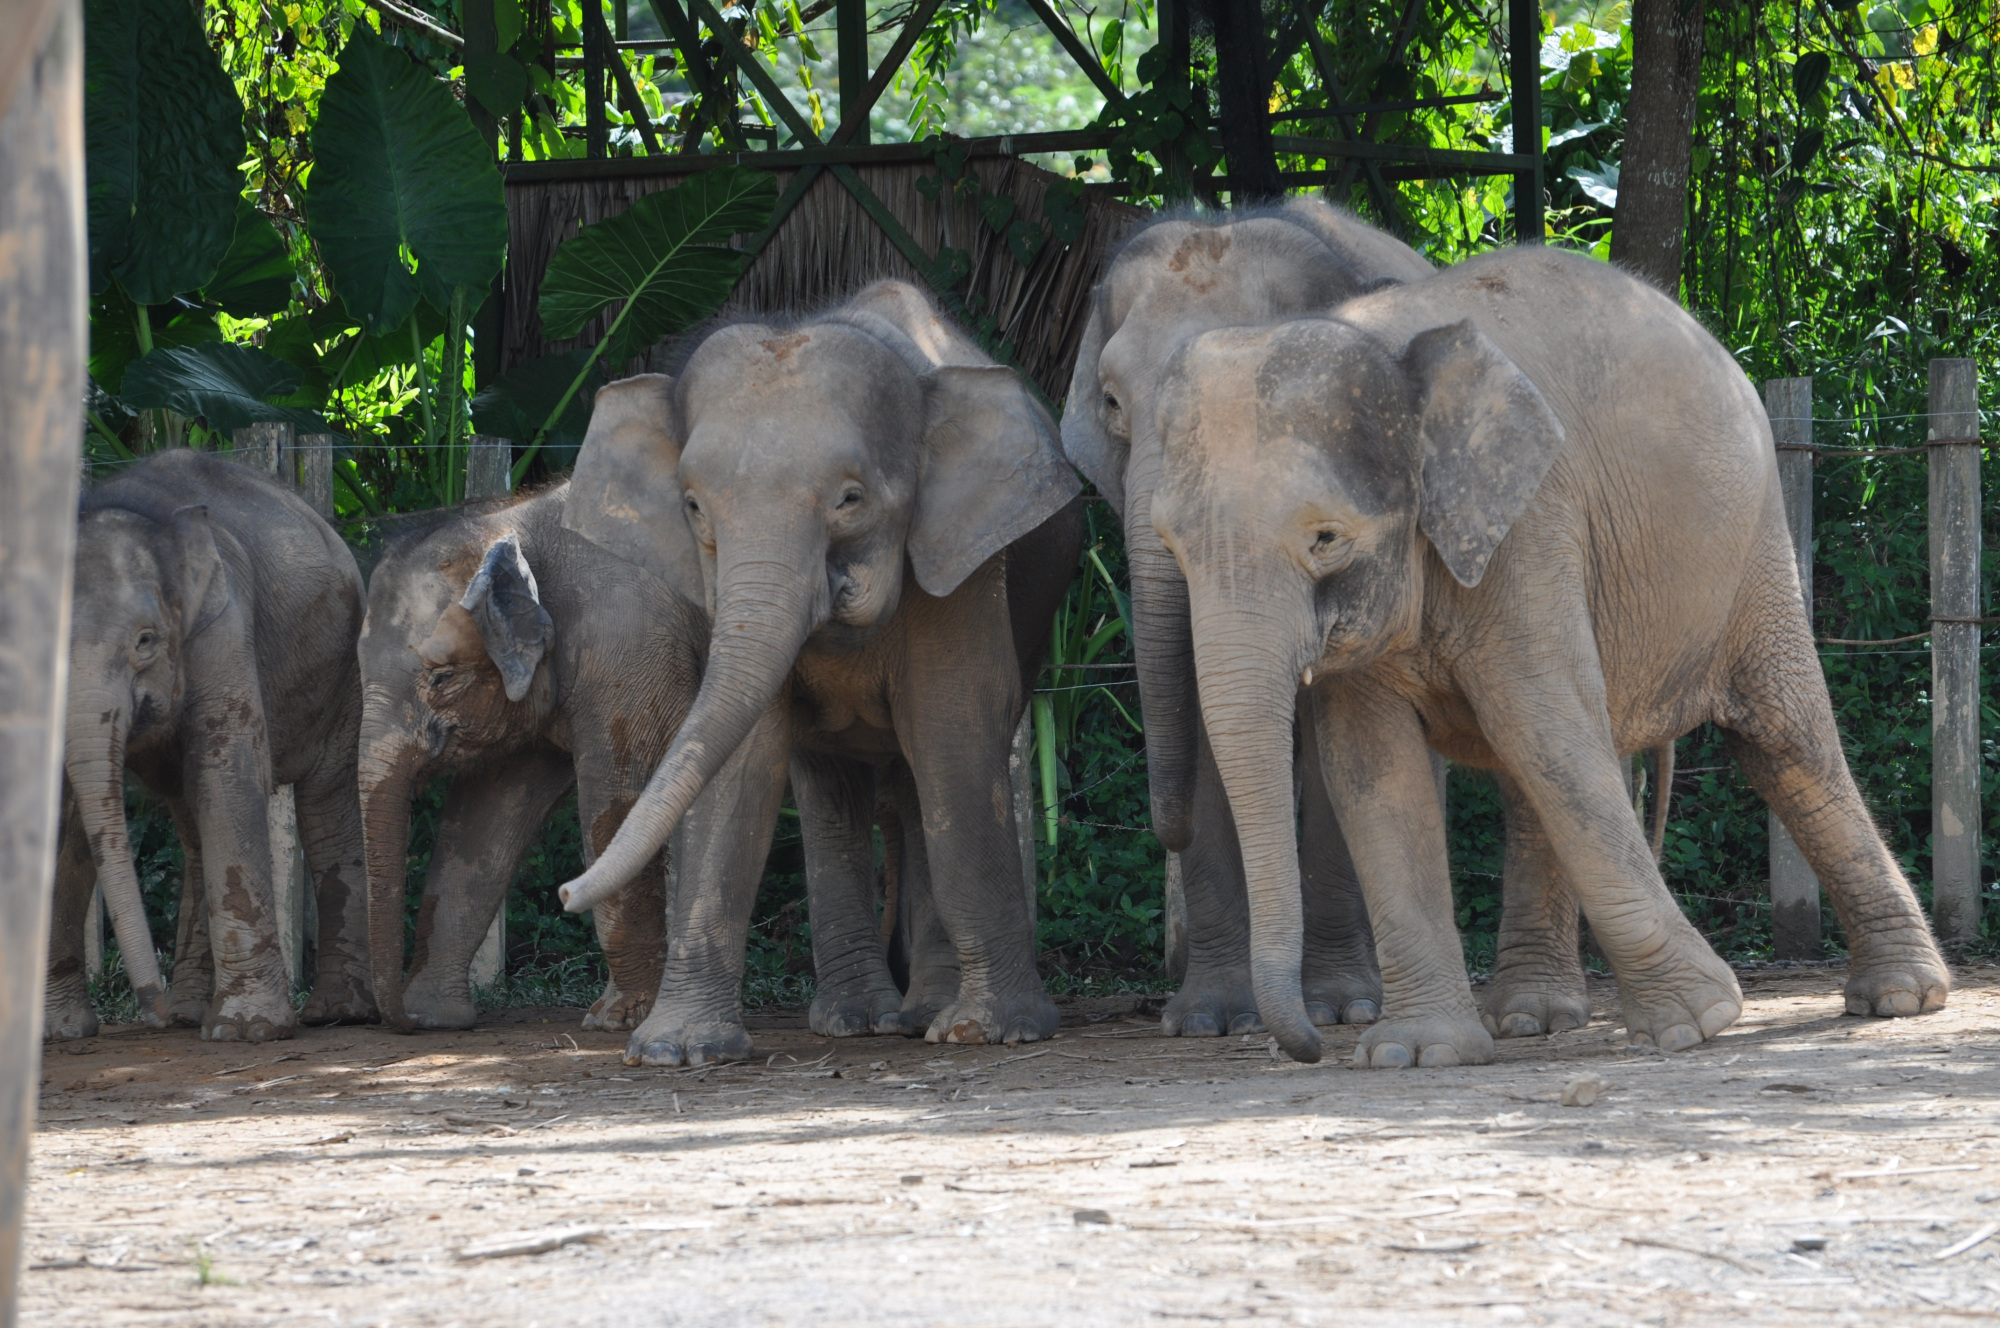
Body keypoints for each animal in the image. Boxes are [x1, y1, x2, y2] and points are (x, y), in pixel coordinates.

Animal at [49, 446, 372, 1040]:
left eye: (146, 641)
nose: (147, 1013)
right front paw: (59, 1032)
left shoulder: (224, 628)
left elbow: (228, 775)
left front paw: (249, 1032)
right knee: (190, 818)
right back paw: (188, 1014)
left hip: (341, 671)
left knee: (325, 802)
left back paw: (338, 1013)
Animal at [356, 482, 708, 1032]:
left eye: (442, 678)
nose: (402, 1020)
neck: (515, 523)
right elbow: (483, 822)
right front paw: (437, 1018)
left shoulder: (632, 651)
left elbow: (618, 800)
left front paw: (615, 1020)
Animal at [548, 282, 1088, 1072]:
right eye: (693, 507)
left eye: (850, 500)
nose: (562, 893)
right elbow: (740, 760)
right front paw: (674, 1051)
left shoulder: (957, 563)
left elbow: (954, 734)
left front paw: (991, 1032)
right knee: (834, 788)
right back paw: (856, 1020)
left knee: (921, 777)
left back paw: (922, 1015)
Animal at [1152, 244, 1944, 1064]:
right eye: (1169, 544)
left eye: (1326, 538)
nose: (1309, 1043)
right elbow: (1373, 767)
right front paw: (1417, 1053)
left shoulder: (1532, 519)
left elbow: (1543, 720)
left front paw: (1696, 1024)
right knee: (1534, 770)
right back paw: (1534, 1018)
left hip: (1753, 545)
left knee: (1781, 738)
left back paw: (1900, 998)